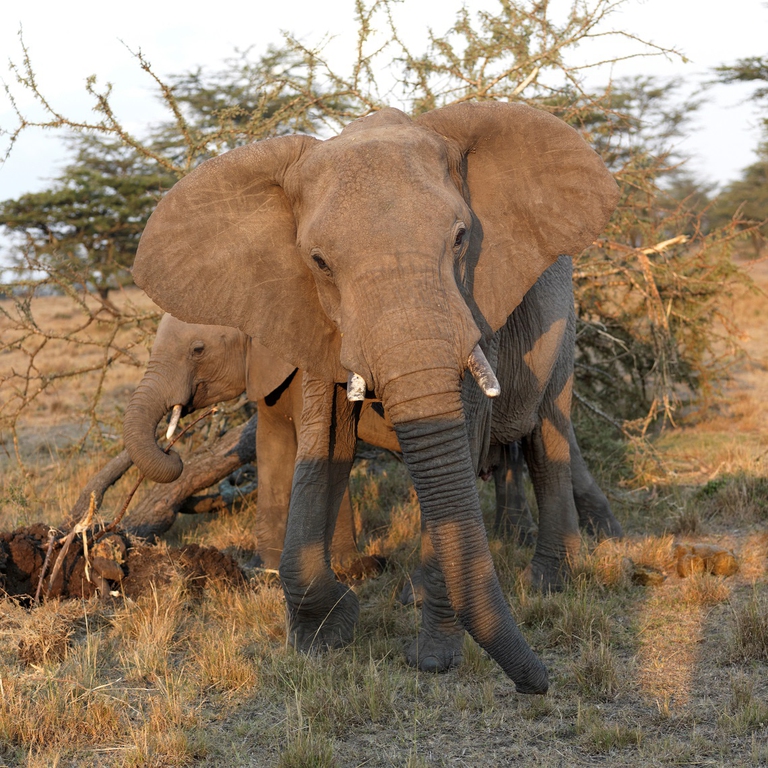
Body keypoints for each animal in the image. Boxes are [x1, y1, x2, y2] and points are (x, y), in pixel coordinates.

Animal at [130, 102, 620, 694]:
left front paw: (432, 659)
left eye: (461, 238)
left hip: (563, 322)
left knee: (547, 434)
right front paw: (321, 637)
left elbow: (460, 437)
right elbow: (323, 447)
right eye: (318, 262)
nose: (539, 682)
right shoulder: (311, 320)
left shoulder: (475, 305)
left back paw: (546, 583)